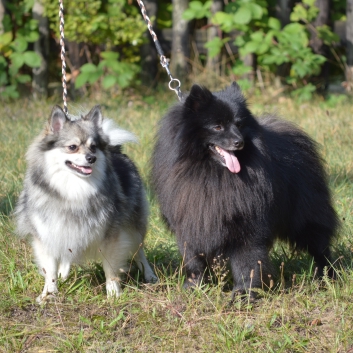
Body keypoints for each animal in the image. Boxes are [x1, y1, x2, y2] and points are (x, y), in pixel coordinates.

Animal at [14, 104, 156, 302]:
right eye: (72, 147)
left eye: (93, 147)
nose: (91, 158)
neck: (73, 189)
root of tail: (115, 149)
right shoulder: (47, 233)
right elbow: (49, 268)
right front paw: (49, 293)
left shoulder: (111, 234)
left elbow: (110, 267)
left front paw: (113, 292)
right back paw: (63, 273)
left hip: (134, 226)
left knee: (139, 252)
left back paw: (149, 274)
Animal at [152, 82, 338, 294]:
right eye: (217, 126)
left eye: (239, 125)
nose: (239, 142)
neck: (212, 174)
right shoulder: (190, 223)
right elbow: (193, 260)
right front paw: (194, 287)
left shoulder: (246, 222)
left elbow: (246, 261)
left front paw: (245, 292)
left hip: (305, 218)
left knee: (320, 248)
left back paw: (325, 276)